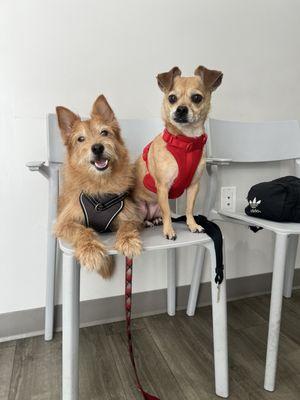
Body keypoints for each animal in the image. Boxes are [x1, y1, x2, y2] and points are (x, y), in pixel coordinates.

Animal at [54, 95, 142, 276]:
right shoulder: (64, 223)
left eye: (104, 132)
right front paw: (91, 250)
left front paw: (129, 241)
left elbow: (127, 225)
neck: (100, 184)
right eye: (80, 139)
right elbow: (82, 230)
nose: (97, 147)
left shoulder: (131, 216)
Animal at [134, 66, 223, 241]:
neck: (185, 143)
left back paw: (155, 220)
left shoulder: (194, 186)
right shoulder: (163, 187)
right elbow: (168, 212)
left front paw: (192, 224)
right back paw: (147, 222)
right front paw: (169, 230)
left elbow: (189, 208)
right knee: (142, 219)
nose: (181, 109)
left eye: (197, 98)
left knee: (156, 215)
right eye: (172, 98)